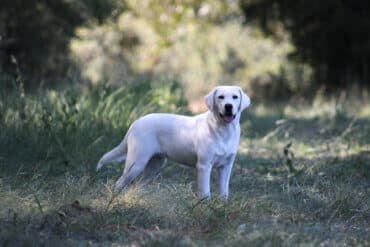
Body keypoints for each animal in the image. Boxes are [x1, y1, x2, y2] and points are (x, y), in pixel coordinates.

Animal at [97, 86, 250, 200]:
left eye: (235, 97)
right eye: (220, 97)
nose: (228, 106)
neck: (223, 131)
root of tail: (136, 122)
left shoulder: (226, 166)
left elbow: (224, 191)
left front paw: (223, 206)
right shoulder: (204, 166)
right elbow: (205, 192)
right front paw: (206, 207)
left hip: (155, 166)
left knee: (138, 185)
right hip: (136, 163)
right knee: (119, 182)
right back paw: (113, 199)